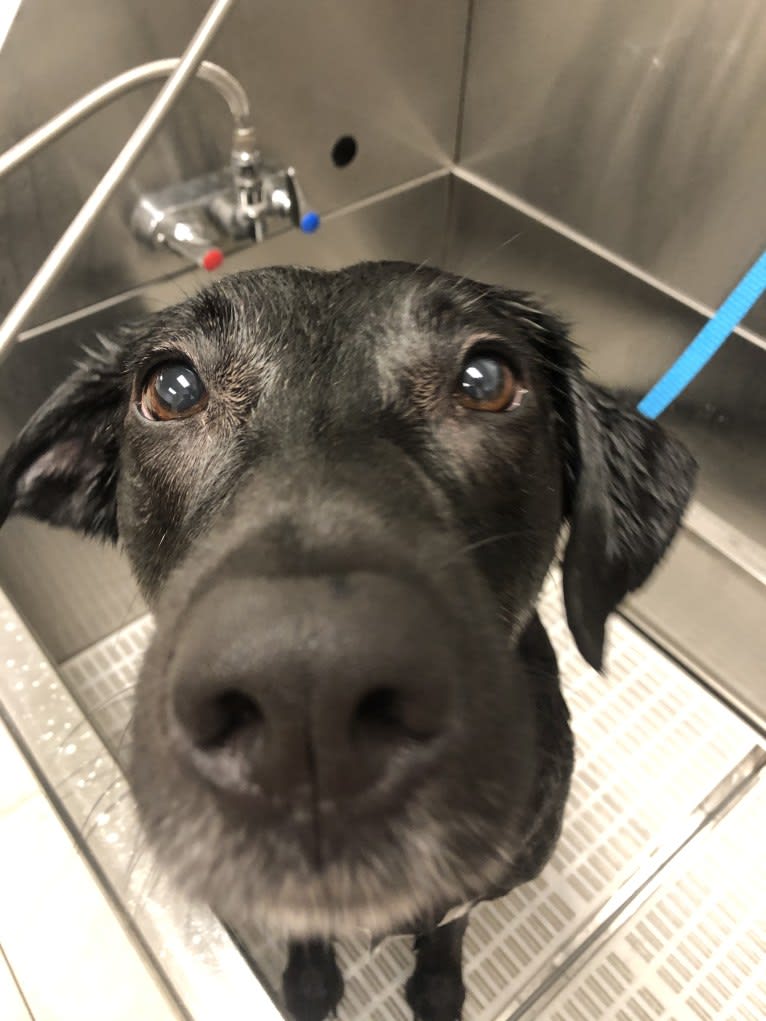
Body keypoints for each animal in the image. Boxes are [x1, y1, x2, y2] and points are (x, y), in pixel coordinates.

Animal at [0, 265, 694, 1021]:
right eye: (172, 387)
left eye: (485, 378)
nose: (307, 695)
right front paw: (309, 982)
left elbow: (449, 928)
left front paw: (438, 989)